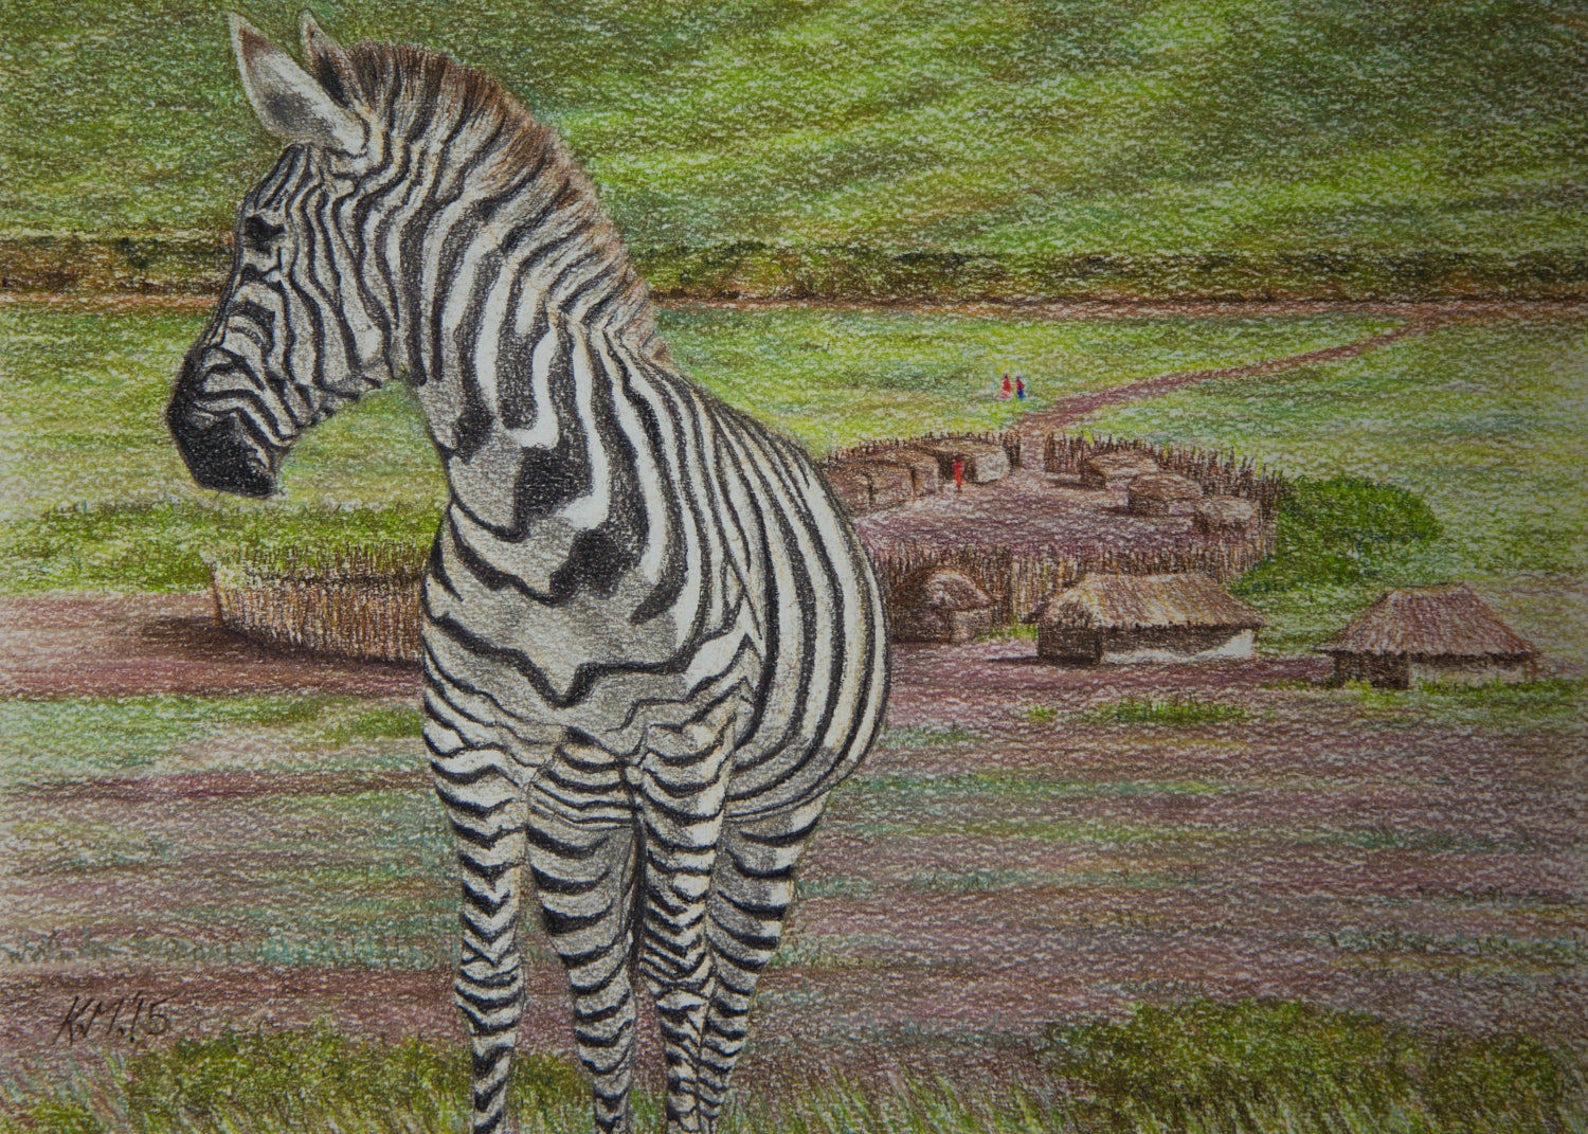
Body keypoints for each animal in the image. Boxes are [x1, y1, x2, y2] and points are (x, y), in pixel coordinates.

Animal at [167, 15, 889, 1134]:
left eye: (260, 237)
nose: (185, 438)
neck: (536, 515)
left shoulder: (687, 747)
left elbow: (682, 985)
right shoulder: (471, 736)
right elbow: (492, 982)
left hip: (772, 807)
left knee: (721, 991)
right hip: (577, 814)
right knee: (603, 998)